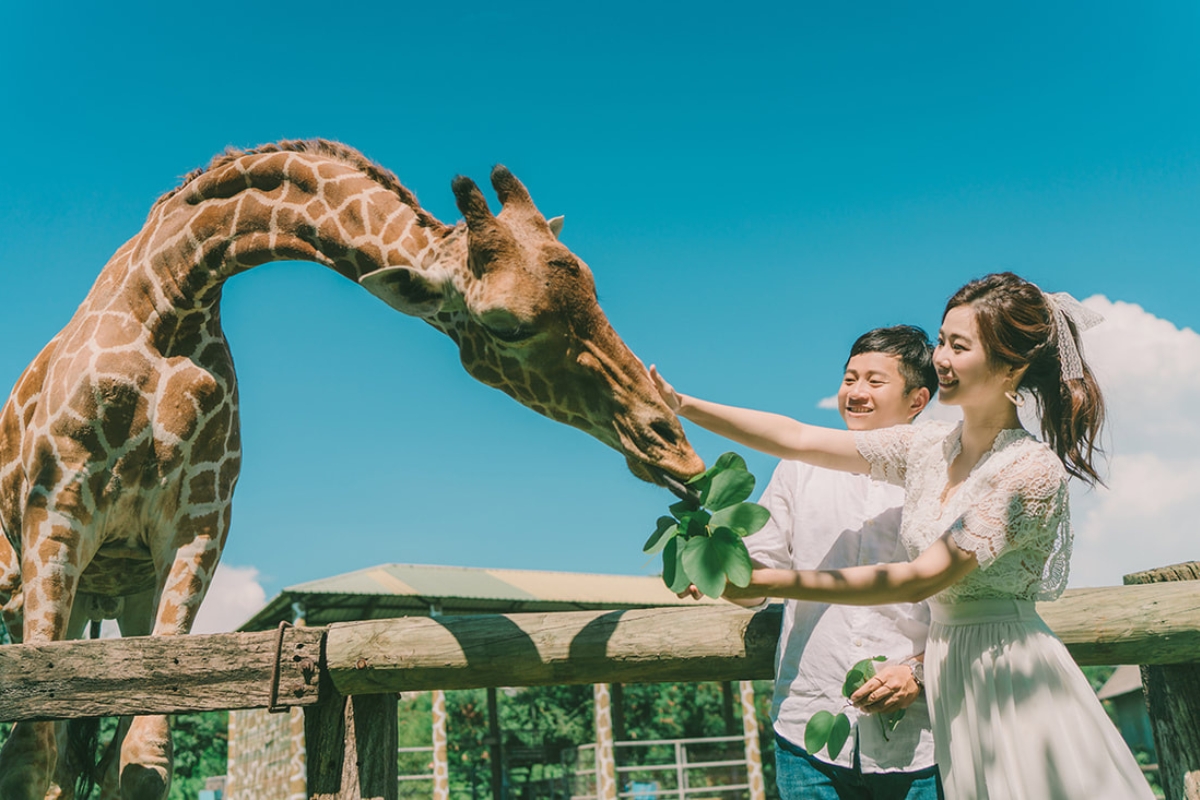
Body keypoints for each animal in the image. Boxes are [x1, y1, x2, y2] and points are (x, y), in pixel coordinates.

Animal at [0, 140, 700, 796]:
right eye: (507, 325)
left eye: (592, 285)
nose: (673, 448)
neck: (168, 301)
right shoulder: (57, 512)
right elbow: (28, 756)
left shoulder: (195, 530)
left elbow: (142, 760)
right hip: (24, 583)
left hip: (126, 592)